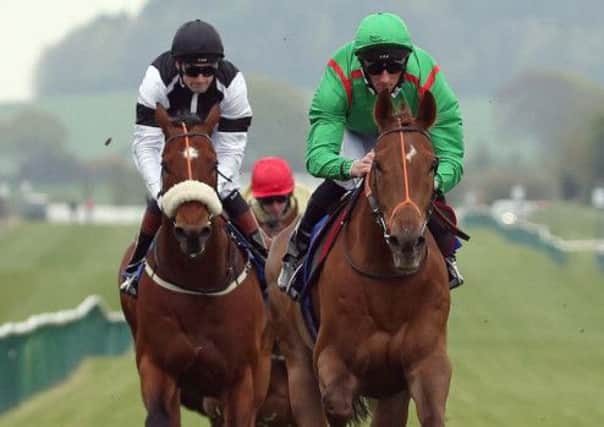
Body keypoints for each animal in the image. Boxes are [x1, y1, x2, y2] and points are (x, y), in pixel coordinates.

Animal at [119, 105, 272, 426]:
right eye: (165, 164)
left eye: (214, 164)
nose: (192, 231)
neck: (198, 283)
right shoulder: (157, 367)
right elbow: (159, 415)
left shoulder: (241, 379)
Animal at [266, 91, 450, 427]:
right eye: (377, 164)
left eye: (433, 164)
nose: (406, 241)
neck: (388, 285)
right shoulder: (333, 363)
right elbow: (337, 405)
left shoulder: (425, 363)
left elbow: (432, 413)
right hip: (297, 363)